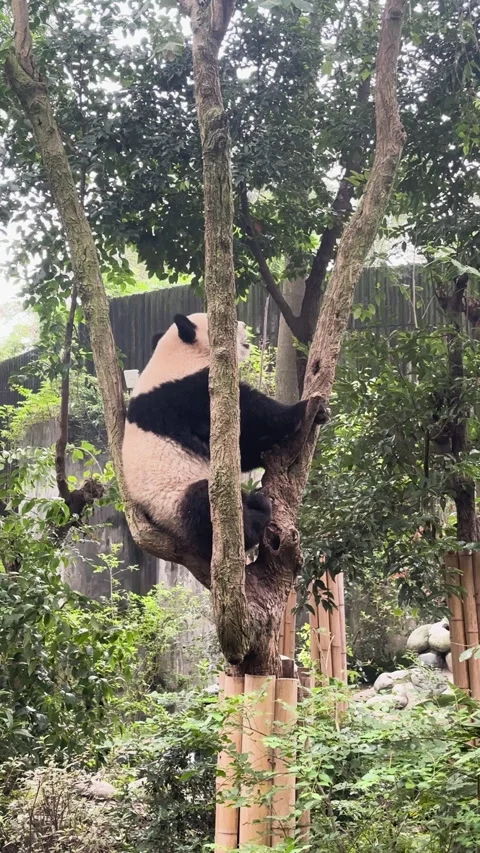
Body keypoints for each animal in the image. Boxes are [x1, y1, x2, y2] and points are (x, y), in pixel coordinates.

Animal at [122, 312, 328, 563]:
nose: (244, 325)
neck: (178, 356)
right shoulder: (188, 394)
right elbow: (253, 416)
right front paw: (305, 409)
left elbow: (244, 447)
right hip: (173, 496)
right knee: (203, 506)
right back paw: (257, 512)